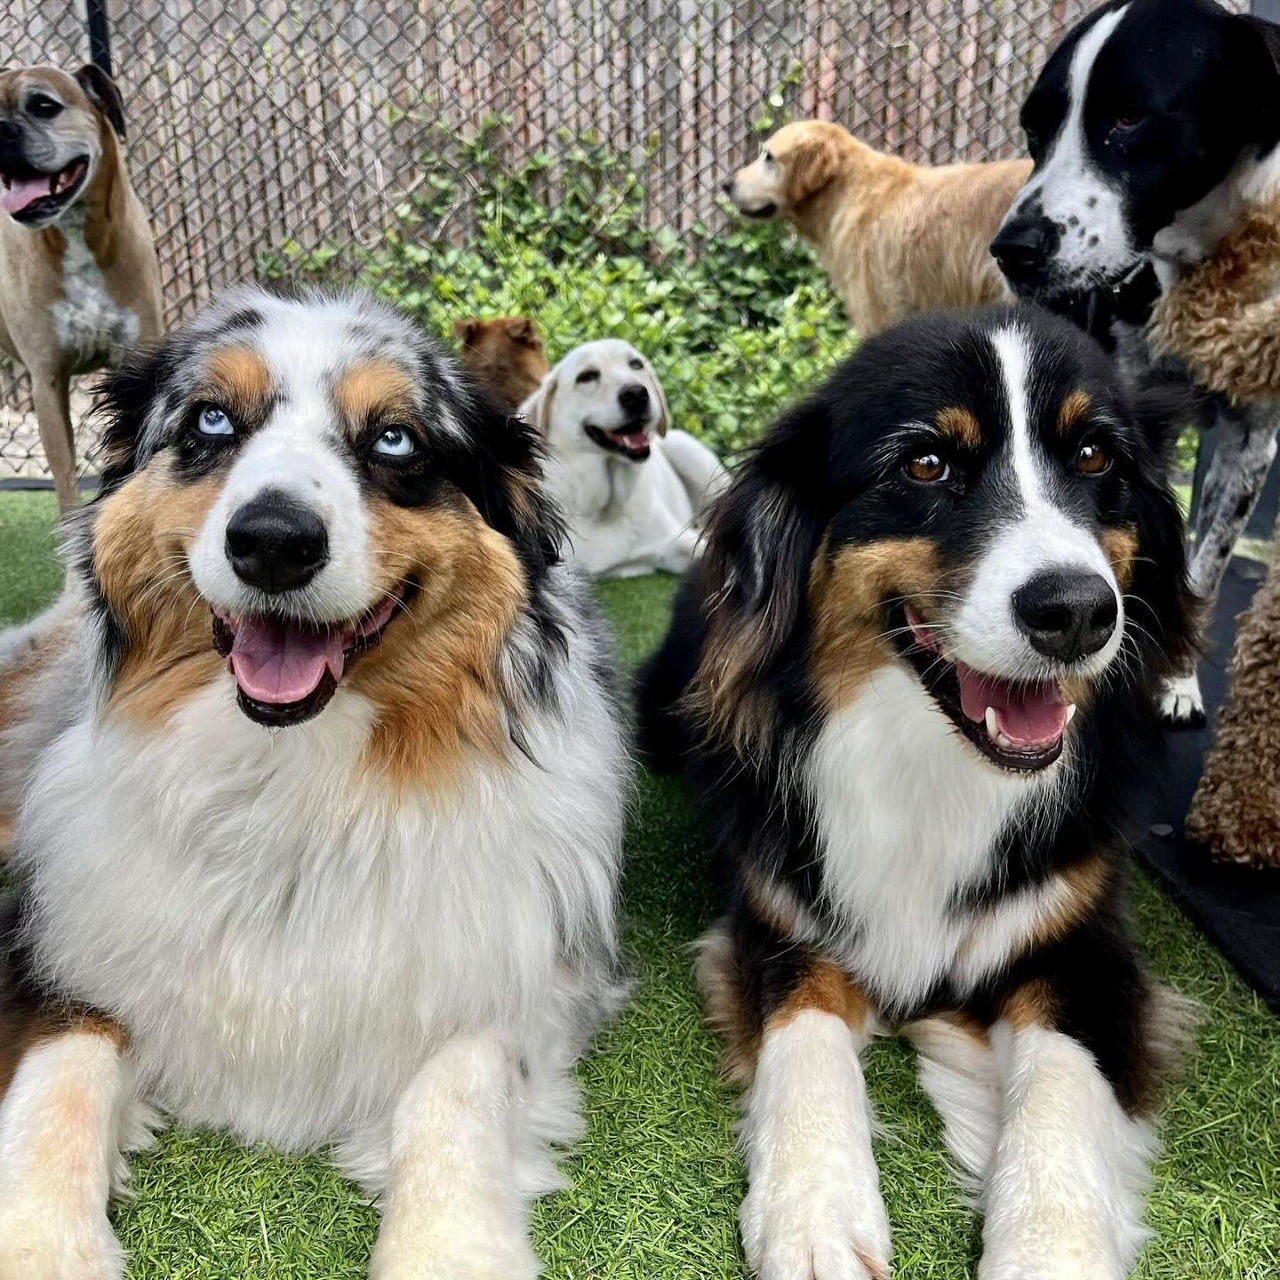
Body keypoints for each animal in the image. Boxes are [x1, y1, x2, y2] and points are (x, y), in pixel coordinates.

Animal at [993, 0, 1280, 727]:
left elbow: (1202, 570)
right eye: (1035, 129)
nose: (1012, 249)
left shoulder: (1250, 441)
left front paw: (1177, 679)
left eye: (1129, 119)